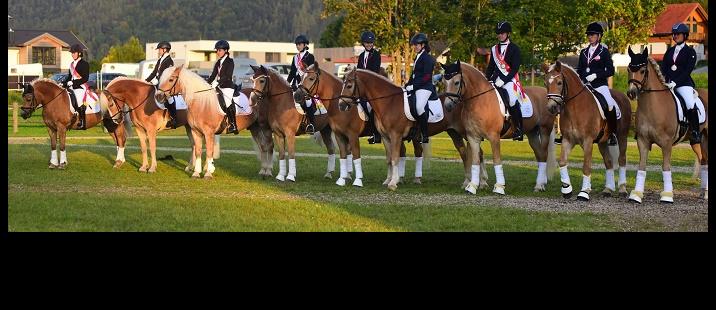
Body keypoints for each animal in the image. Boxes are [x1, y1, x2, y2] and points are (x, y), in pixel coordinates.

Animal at [544, 60, 632, 201]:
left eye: (559, 82)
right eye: (546, 83)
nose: (551, 107)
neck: (575, 107)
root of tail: (623, 96)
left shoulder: (588, 142)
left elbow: (586, 167)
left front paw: (584, 193)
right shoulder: (568, 140)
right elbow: (562, 162)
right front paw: (567, 190)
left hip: (622, 136)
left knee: (622, 160)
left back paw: (622, 189)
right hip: (603, 141)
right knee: (608, 162)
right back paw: (607, 190)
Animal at [628, 45, 704, 201]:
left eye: (642, 70)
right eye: (628, 69)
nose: (631, 93)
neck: (653, 107)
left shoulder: (666, 143)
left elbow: (666, 167)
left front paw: (667, 196)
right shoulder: (642, 141)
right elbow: (641, 167)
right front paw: (636, 194)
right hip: (696, 141)